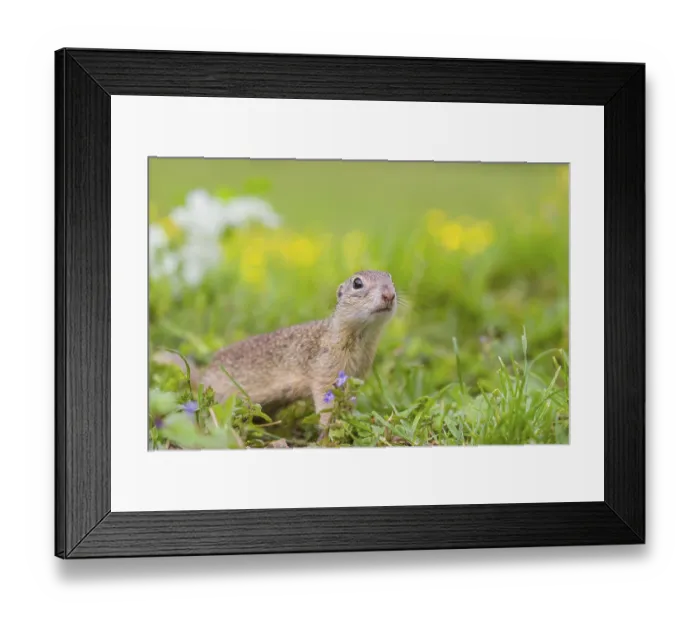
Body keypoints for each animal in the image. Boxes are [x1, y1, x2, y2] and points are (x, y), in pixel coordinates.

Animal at [153, 270, 397, 440]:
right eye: (357, 283)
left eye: (390, 277)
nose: (390, 294)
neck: (361, 339)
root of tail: (202, 377)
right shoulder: (325, 372)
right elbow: (325, 404)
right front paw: (331, 431)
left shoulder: (356, 376)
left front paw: (351, 424)